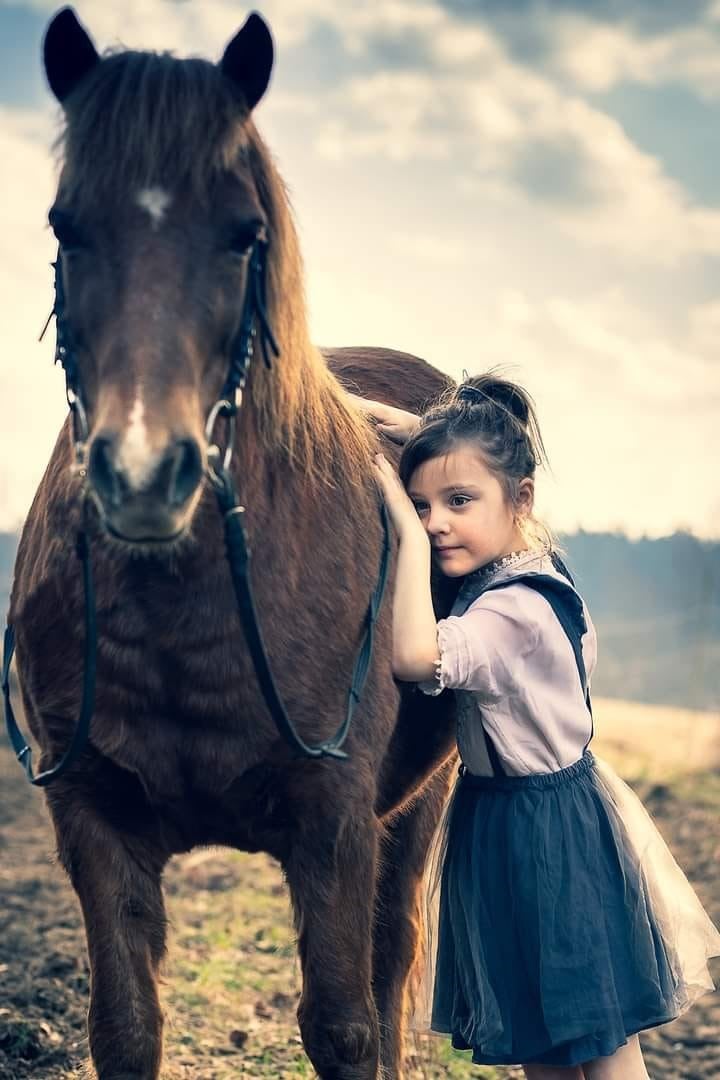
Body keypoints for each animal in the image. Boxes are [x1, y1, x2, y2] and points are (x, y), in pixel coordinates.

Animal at [9, 10, 455, 1080]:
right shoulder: (91, 815)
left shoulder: (335, 822)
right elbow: (125, 1030)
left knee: (390, 966)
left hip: (415, 813)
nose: (141, 473)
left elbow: (344, 1024)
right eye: (66, 226)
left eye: (243, 234)